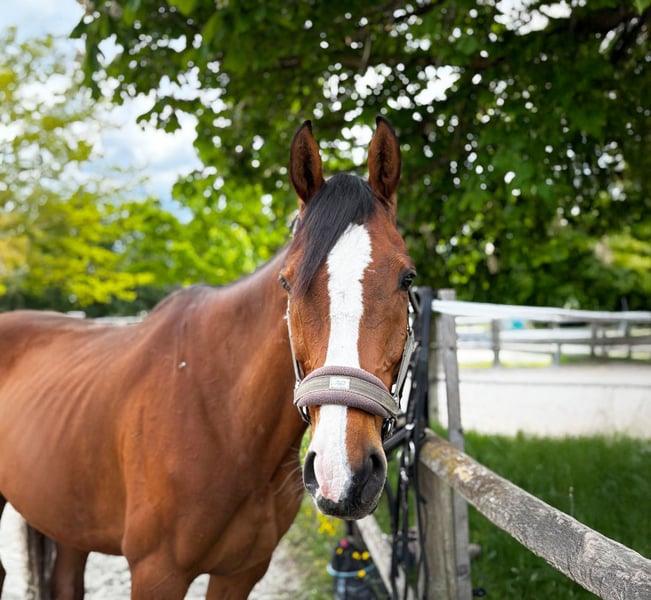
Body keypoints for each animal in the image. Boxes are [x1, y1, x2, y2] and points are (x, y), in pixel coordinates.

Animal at [0, 116, 415, 599]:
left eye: (407, 278)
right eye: (288, 282)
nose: (342, 473)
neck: (226, 421)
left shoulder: (241, 572)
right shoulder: (156, 573)